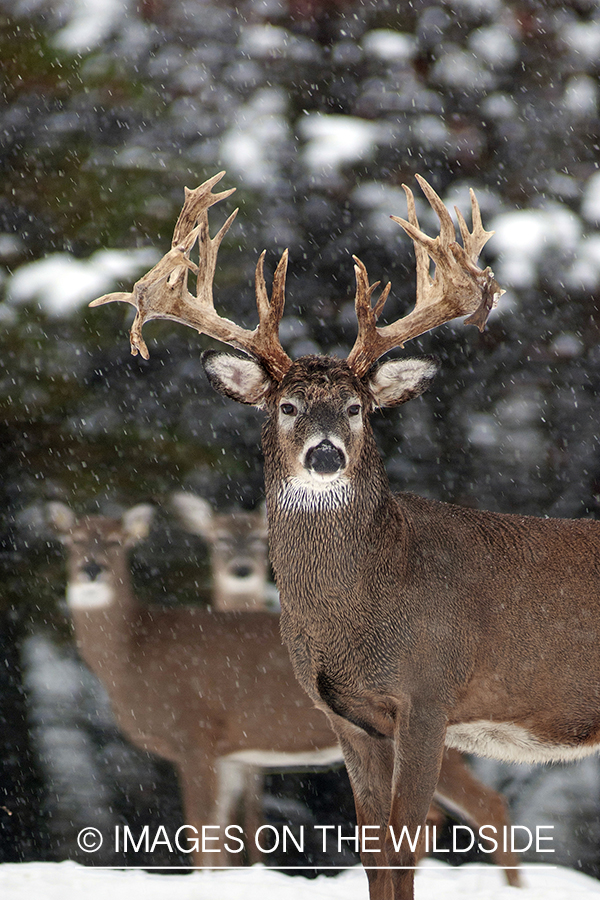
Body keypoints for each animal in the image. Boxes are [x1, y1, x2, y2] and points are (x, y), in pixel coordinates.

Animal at [85, 172, 548, 896]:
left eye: (357, 407)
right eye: (287, 406)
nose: (326, 453)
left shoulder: (204, 740)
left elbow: (209, 844)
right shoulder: (234, 752)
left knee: (483, 807)